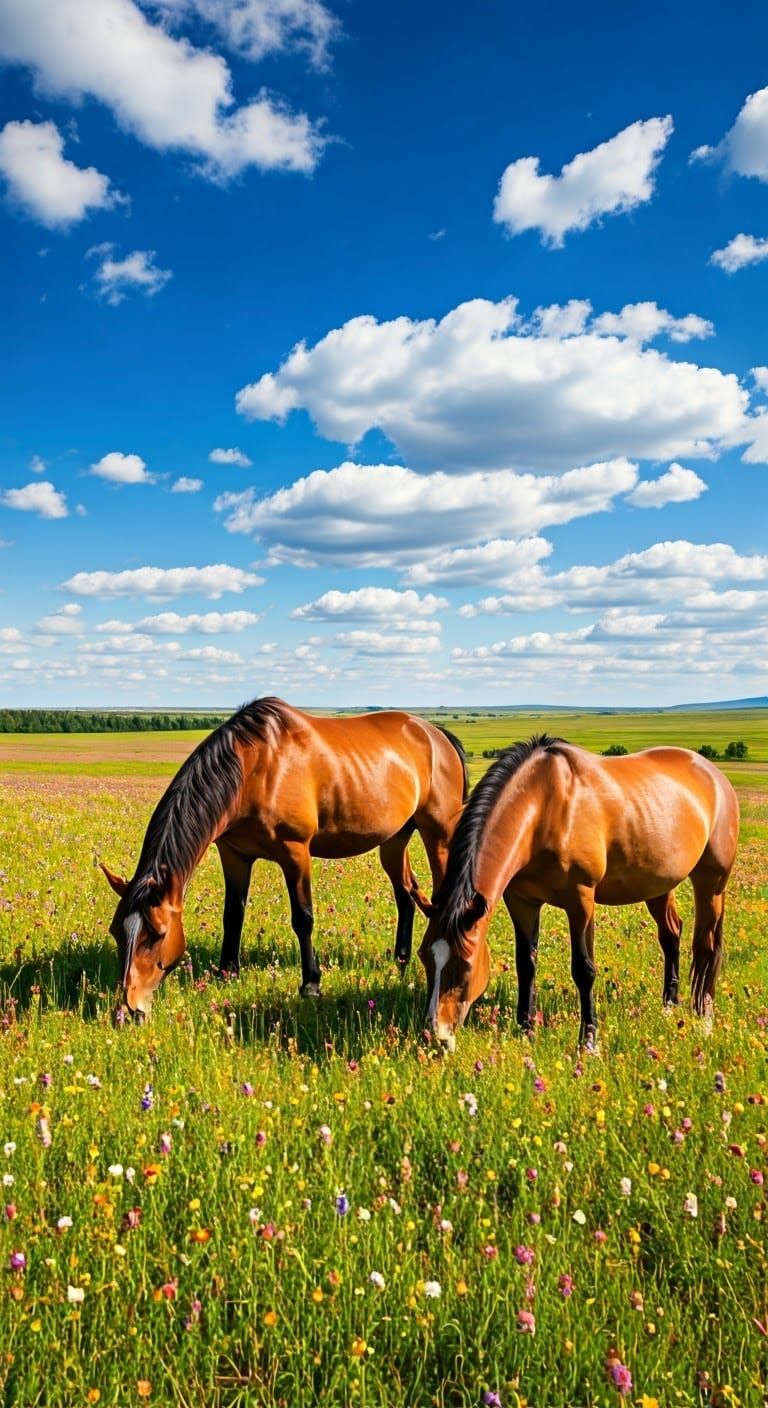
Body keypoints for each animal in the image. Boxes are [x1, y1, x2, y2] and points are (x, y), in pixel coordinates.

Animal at [101, 696, 468, 1020]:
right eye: (117, 931)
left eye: (157, 935)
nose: (131, 1006)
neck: (254, 768)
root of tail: (436, 734)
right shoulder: (234, 855)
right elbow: (233, 915)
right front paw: (227, 972)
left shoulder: (295, 852)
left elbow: (302, 918)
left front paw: (311, 984)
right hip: (394, 840)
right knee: (405, 894)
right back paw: (400, 960)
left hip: (438, 833)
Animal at [419, 734, 739, 1052]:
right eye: (424, 957)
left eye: (464, 966)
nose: (436, 1037)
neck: (545, 807)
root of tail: (715, 776)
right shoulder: (522, 902)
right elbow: (525, 964)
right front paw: (526, 1031)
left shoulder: (581, 900)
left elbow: (584, 970)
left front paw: (588, 1041)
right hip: (658, 884)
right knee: (671, 935)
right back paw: (669, 1006)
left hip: (712, 883)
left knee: (707, 947)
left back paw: (704, 1020)